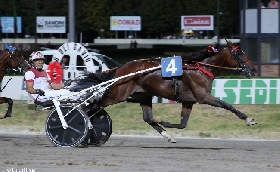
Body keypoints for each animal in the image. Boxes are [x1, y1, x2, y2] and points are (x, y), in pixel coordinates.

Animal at [72, 40, 258, 142]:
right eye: (239, 53)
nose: (254, 69)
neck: (201, 68)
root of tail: (120, 69)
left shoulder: (188, 101)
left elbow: (182, 124)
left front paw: (165, 124)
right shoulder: (203, 96)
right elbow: (228, 105)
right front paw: (248, 119)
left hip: (144, 95)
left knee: (147, 118)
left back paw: (167, 134)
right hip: (117, 94)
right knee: (91, 107)